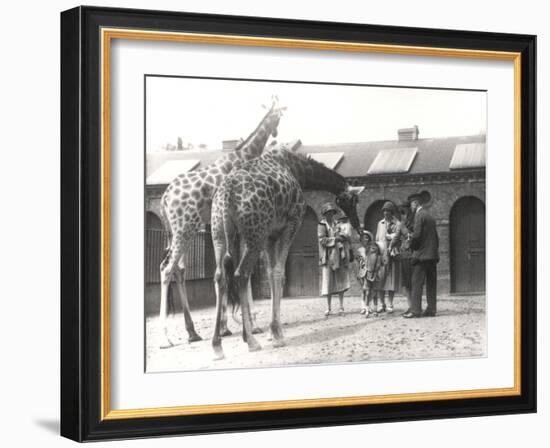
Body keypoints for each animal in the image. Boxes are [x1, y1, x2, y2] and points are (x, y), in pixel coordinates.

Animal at [158, 97, 286, 350]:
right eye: (280, 115)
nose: (277, 132)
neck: (244, 155)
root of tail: (164, 198)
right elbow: (241, 271)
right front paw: (251, 325)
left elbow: (227, 268)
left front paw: (228, 327)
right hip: (184, 228)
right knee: (167, 269)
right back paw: (166, 338)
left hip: (179, 231)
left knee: (177, 268)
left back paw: (192, 332)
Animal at [209, 149, 364, 358]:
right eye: (354, 200)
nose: (356, 223)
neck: (298, 171)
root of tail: (226, 194)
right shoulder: (290, 224)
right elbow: (278, 273)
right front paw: (277, 334)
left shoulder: (270, 234)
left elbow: (270, 273)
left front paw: (272, 333)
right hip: (254, 235)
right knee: (241, 274)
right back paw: (251, 341)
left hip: (220, 233)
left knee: (220, 276)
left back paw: (217, 345)